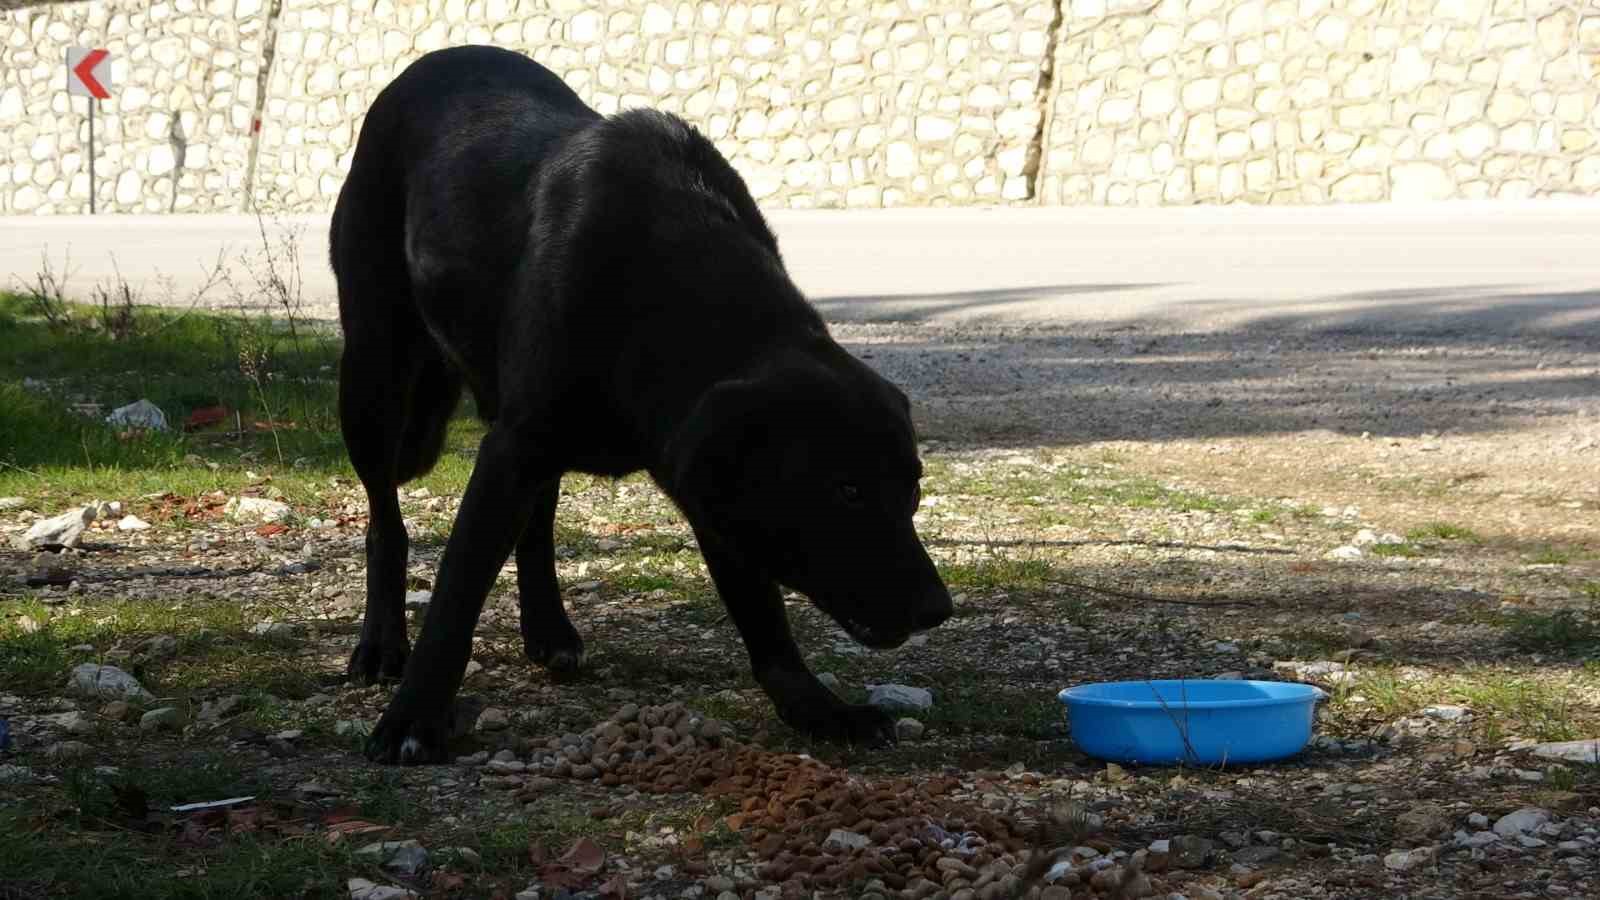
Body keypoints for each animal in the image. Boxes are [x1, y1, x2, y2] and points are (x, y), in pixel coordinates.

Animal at [328, 45, 947, 759]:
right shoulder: (515, 449)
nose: (938, 608)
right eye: (845, 491)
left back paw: (549, 629)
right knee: (386, 520)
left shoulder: (710, 485)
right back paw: (381, 644)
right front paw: (412, 719)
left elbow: (766, 623)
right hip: (372, 380)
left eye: (913, 490)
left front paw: (821, 710)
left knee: (535, 521)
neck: (670, 297)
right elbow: (456, 595)